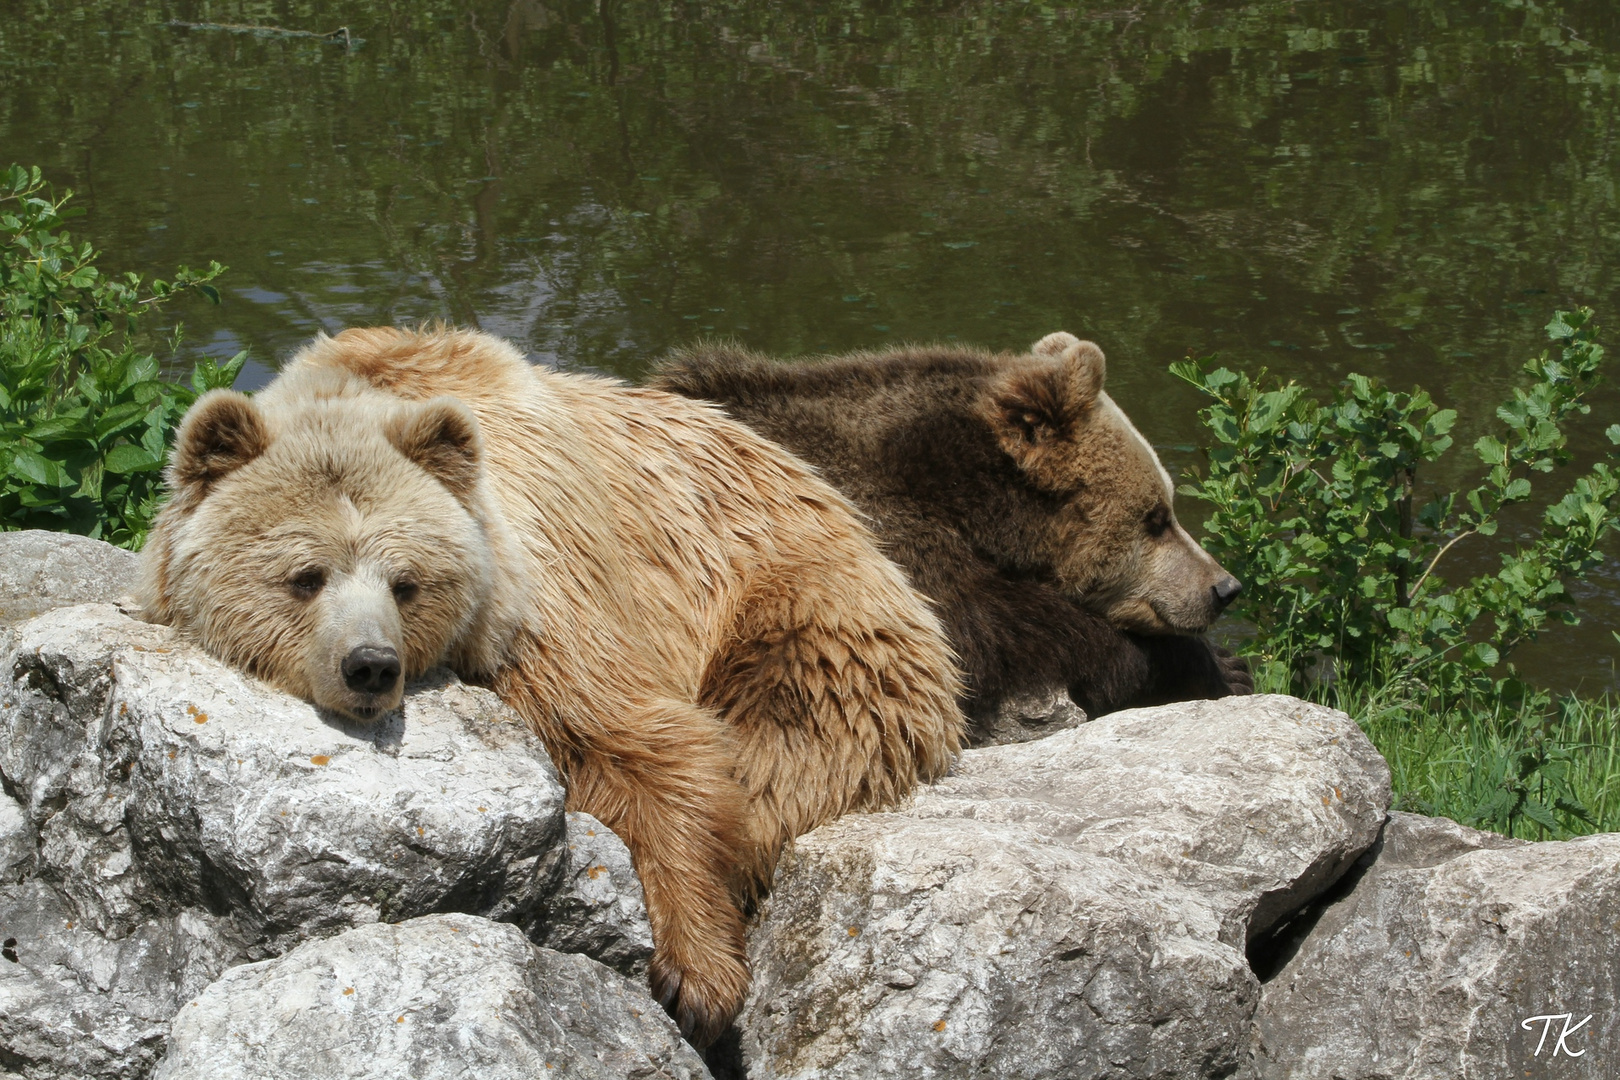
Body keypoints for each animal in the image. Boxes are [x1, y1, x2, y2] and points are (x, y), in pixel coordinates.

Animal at [142, 325, 959, 1042]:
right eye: (305, 576)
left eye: (407, 582)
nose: (371, 666)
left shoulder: (545, 591)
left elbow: (639, 743)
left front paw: (695, 973)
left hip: (800, 608)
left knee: (793, 741)